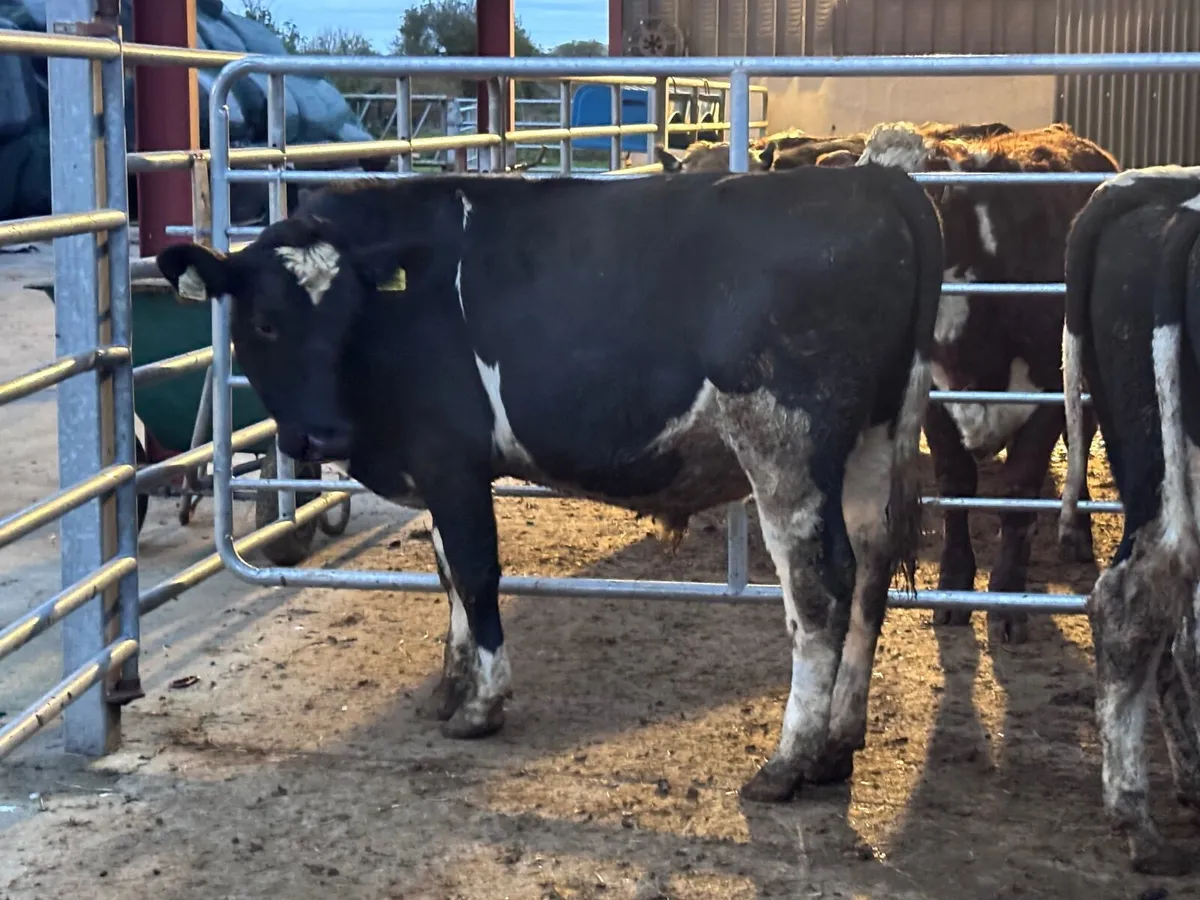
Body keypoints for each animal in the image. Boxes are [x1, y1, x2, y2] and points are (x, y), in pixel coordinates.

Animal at [155, 164, 944, 801]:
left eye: (349, 319)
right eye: (264, 322)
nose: (324, 436)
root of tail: (872, 179)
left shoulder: (451, 458)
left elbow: (476, 572)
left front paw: (482, 706)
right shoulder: (435, 471)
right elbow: (447, 572)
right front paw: (449, 687)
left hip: (785, 442)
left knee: (820, 589)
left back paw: (789, 762)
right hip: (873, 438)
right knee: (872, 572)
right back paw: (838, 744)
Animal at [856, 121, 1120, 645]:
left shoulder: (1048, 392)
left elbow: (1018, 492)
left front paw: (1007, 599)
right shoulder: (935, 400)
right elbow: (956, 484)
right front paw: (954, 588)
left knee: (1081, 440)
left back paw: (1074, 532)